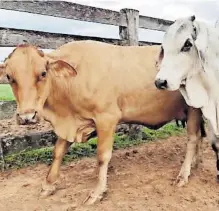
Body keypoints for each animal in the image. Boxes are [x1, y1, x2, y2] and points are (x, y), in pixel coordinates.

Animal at [0, 40, 205, 204]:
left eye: (43, 73)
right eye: (9, 77)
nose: (27, 117)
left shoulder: (106, 118)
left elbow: (102, 156)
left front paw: (97, 192)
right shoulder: (73, 122)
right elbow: (58, 151)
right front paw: (48, 185)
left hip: (194, 108)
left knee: (193, 138)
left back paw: (183, 175)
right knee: (200, 136)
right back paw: (195, 163)